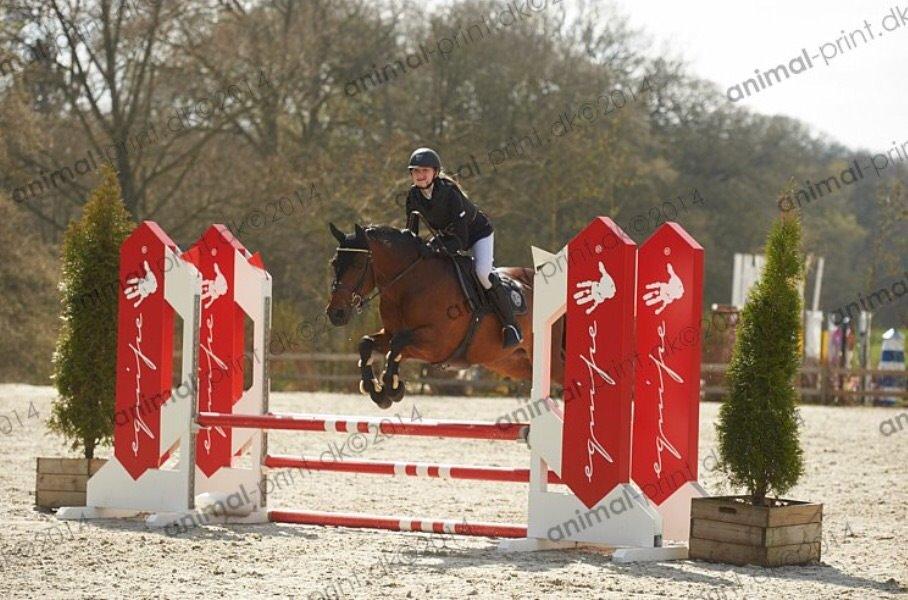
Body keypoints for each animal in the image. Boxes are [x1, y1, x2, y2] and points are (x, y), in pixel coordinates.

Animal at [320, 223, 560, 410]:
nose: (335, 313)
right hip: (512, 362)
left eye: (358, 264)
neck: (409, 284)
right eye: (334, 263)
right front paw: (377, 391)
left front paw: (393, 388)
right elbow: (368, 344)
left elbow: (397, 345)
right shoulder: (393, 335)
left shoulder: (438, 343)